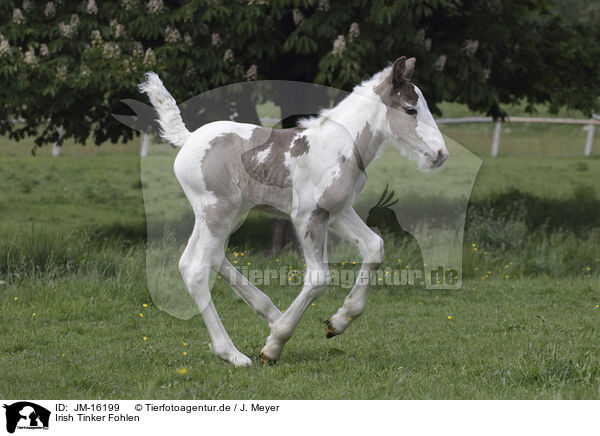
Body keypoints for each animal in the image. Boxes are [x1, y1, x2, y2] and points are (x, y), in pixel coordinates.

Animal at [141, 56, 448, 366]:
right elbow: (318, 278)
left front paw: (337, 323)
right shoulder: (307, 217)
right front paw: (274, 346)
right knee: (195, 268)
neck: (338, 146)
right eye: (410, 110)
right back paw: (234, 353)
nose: (441, 154)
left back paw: (272, 315)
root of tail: (188, 138)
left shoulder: (338, 211)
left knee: (210, 258)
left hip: (228, 214)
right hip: (217, 211)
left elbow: (375, 247)